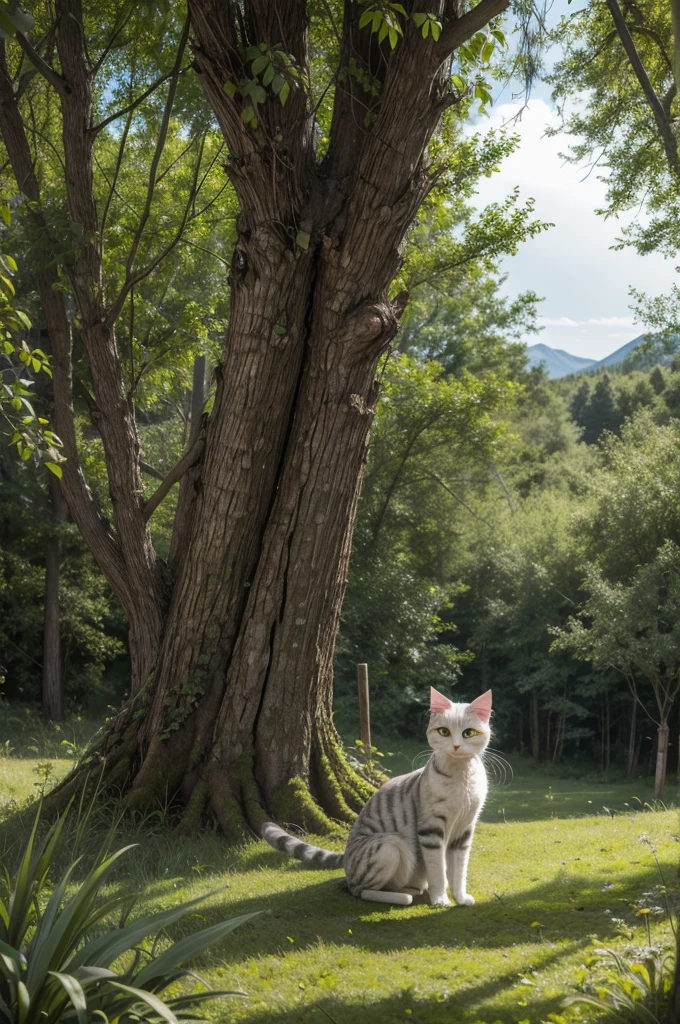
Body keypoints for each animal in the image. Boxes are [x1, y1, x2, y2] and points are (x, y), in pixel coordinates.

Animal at [259, 688, 489, 905]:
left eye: (468, 733)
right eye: (444, 731)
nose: (456, 746)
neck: (461, 775)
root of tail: (347, 858)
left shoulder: (464, 829)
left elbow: (459, 871)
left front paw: (461, 898)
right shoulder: (431, 830)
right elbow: (438, 870)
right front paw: (440, 900)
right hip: (390, 844)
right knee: (359, 890)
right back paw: (403, 897)